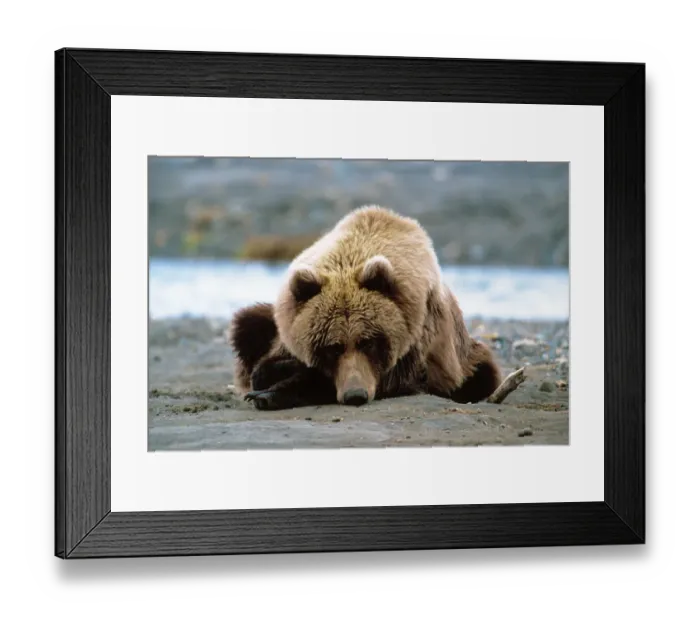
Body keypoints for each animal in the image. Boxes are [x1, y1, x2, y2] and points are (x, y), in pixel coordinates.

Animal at [229, 205, 501, 410]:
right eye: (332, 347)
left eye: (369, 342)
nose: (355, 395)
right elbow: (264, 365)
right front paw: (271, 379)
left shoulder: (417, 342)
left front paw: (271, 393)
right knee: (248, 323)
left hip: (465, 359)